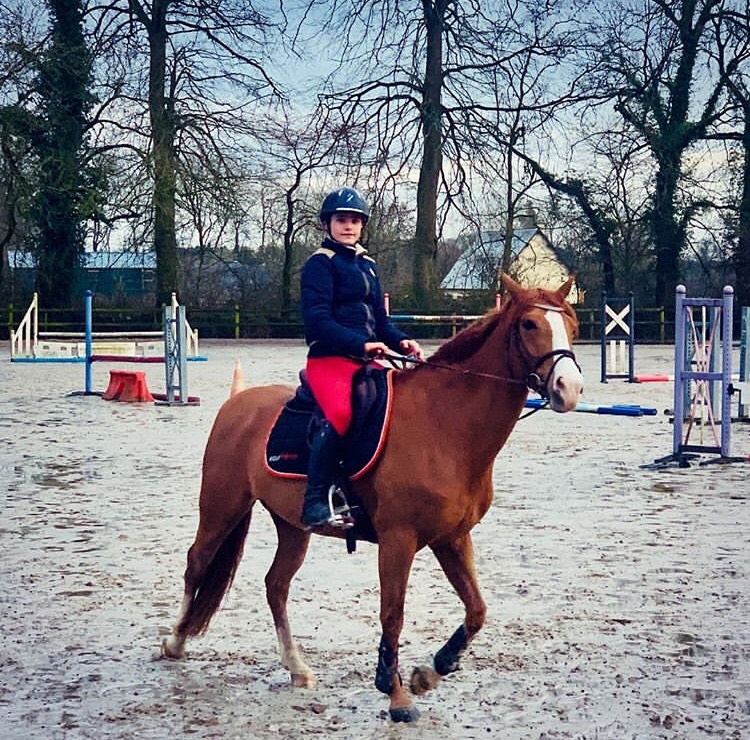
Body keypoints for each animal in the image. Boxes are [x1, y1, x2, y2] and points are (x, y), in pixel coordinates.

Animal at [163, 274, 588, 720]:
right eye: (529, 324)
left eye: (572, 325)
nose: (570, 388)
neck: (444, 425)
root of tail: (238, 402)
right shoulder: (398, 540)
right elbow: (393, 612)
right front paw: (395, 693)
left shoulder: (452, 538)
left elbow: (477, 610)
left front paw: (430, 673)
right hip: (221, 507)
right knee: (196, 564)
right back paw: (175, 641)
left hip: (293, 526)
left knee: (275, 585)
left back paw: (296, 667)